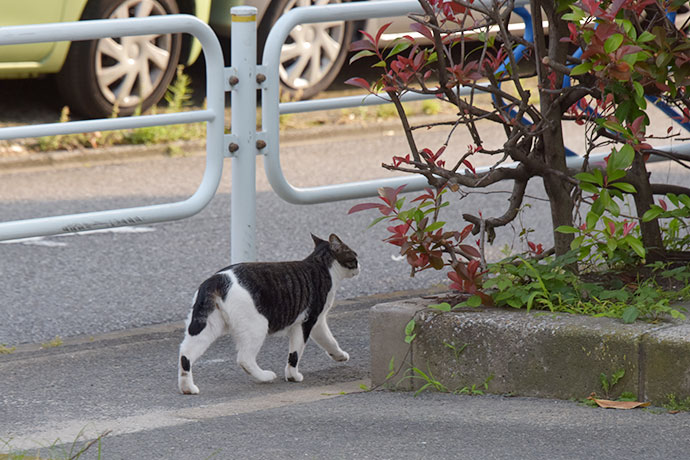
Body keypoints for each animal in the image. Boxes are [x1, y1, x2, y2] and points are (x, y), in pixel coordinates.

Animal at [177, 234, 360, 396]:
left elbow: (329, 341)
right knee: (244, 359)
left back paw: (187, 387)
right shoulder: (308, 321)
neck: (320, 265)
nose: (359, 266)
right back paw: (265, 376)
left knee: (185, 353)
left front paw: (339, 356)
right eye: (355, 256)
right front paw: (293, 376)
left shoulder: (315, 323)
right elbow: (296, 352)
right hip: (257, 326)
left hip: (207, 326)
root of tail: (216, 279)